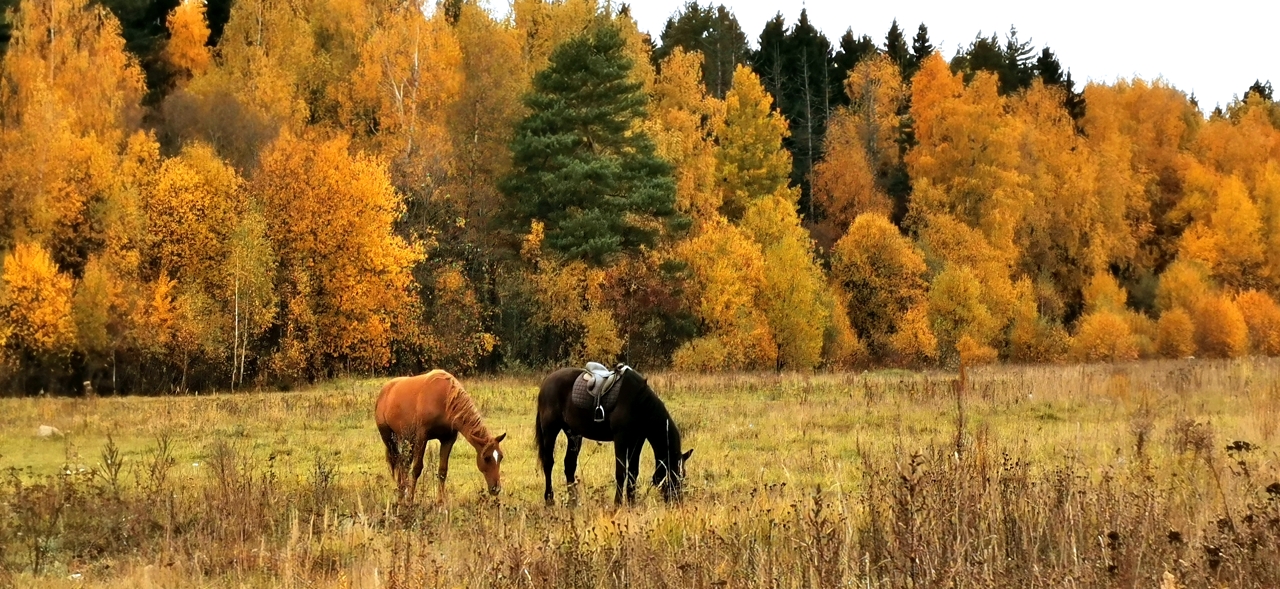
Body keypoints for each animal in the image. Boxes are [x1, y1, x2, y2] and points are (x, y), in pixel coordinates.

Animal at [373, 368, 504, 501]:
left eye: (500, 457)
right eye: (486, 458)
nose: (496, 489)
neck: (444, 400)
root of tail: (385, 390)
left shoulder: (448, 439)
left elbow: (442, 471)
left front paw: (440, 503)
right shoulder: (422, 438)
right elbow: (417, 469)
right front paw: (410, 499)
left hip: (407, 439)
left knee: (405, 464)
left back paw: (402, 492)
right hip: (389, 438)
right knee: (399, 462)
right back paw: (401, 494)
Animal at [532, 366, 696, 504]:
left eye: (683, 474)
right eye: (673, 472)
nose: (677, 500)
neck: (638, 402)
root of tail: (547, 381)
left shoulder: (637, 439)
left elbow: (633, 472)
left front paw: (631, 503)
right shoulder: (621, 438)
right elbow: (621, 472)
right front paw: (618, 503)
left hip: (573, 433)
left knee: (569, 465)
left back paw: (573, 502)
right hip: (550, 430)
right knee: (548, 463)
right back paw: (549, 499)